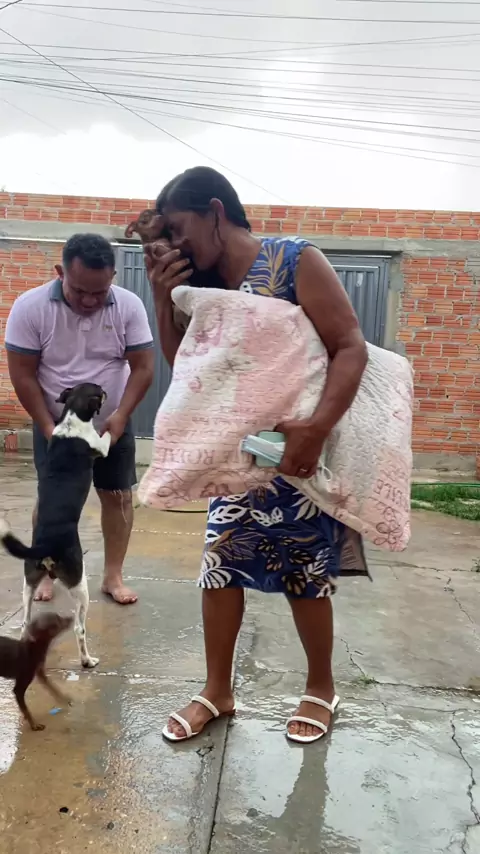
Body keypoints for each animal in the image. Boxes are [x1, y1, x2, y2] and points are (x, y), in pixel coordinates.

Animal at [0, 382, 111, 669]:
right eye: (99, 391)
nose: (106, 390)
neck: (72, 417)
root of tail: (44, 545)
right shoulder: (100, 446)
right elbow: (105, 438)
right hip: (79, 585)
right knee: (79, 628)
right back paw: (87, 660)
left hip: (28, 583)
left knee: (26, 621)